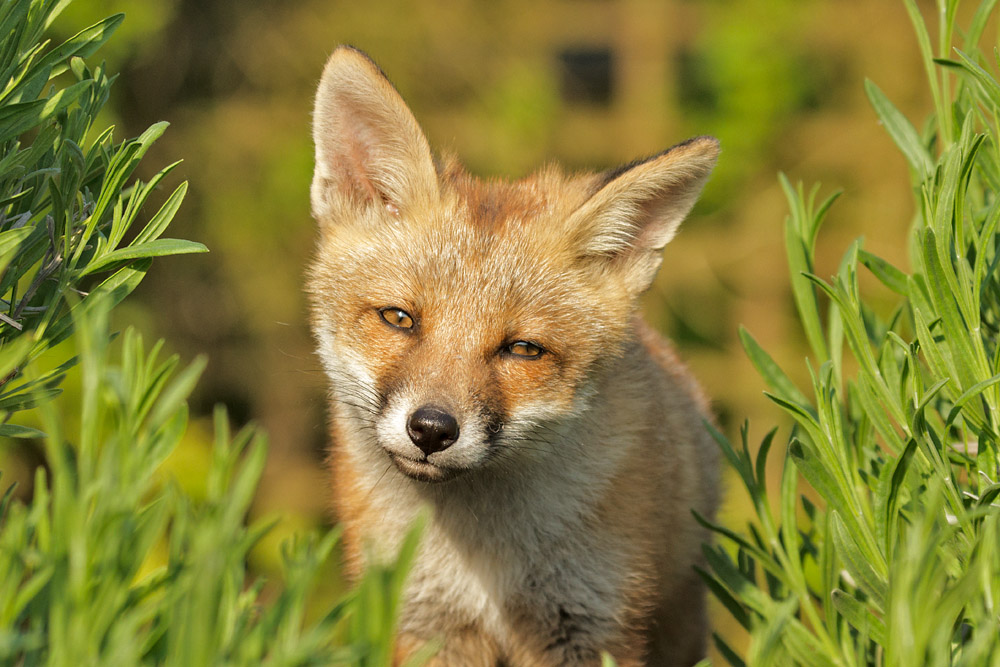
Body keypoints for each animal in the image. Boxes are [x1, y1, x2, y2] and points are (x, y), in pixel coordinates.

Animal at [307, 45, 719, 667]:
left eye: (522, 349)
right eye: (399, 319)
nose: (431, 430)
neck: (483, 561)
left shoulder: (590, 622)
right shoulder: (423, 621)